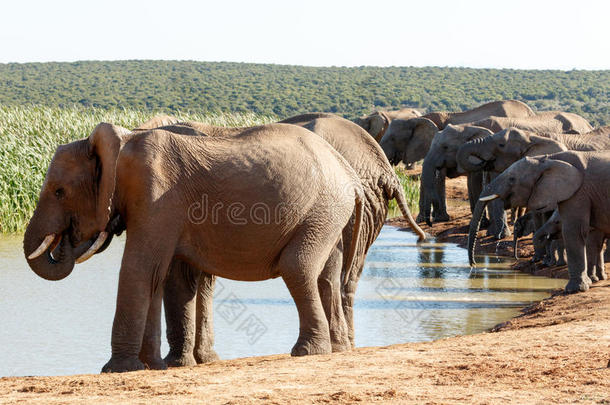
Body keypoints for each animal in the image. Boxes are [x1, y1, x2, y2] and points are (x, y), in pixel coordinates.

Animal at [22, 121, 366, 370]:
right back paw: (335, 349)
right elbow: (170, 277)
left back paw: (308, 352)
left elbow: (140, 267)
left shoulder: (157, 195)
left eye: (59, 192)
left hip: (322, 208)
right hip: (329, 213)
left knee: (297, 266)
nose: (66, 240)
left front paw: (117, 370)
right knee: (326, 274)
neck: (124, 141)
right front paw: (164, 366)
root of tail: (349, 173)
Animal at [468, 150, 610, 292]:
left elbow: (574, 231)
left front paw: (573, 290)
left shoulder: (578, 193)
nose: (473, 265)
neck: (547, 159)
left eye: (512, 179)